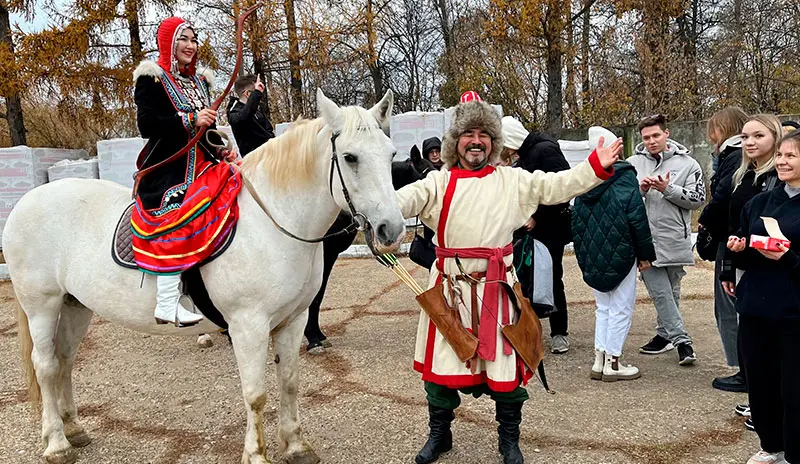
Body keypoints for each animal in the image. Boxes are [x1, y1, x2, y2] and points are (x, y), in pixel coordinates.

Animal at [3, 89, 406, 464]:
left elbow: (290, 382)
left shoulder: (292, 320)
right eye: (350, 157)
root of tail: (27, 201)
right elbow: (256, 394)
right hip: (42, 306)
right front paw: (256, 454)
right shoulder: (248, 324)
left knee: (65, 360)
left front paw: (295, 446)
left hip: (76, 305)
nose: (391, 228)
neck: (271, 222)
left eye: (390, 154)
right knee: (45, 365)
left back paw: (74, 428)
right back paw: (57, 443)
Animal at [304, 152, 434, 352]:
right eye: (427, 175)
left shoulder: (330, 253)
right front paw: (313, 338)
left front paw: (315, 334)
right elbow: (315, 294)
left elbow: (319, 293)